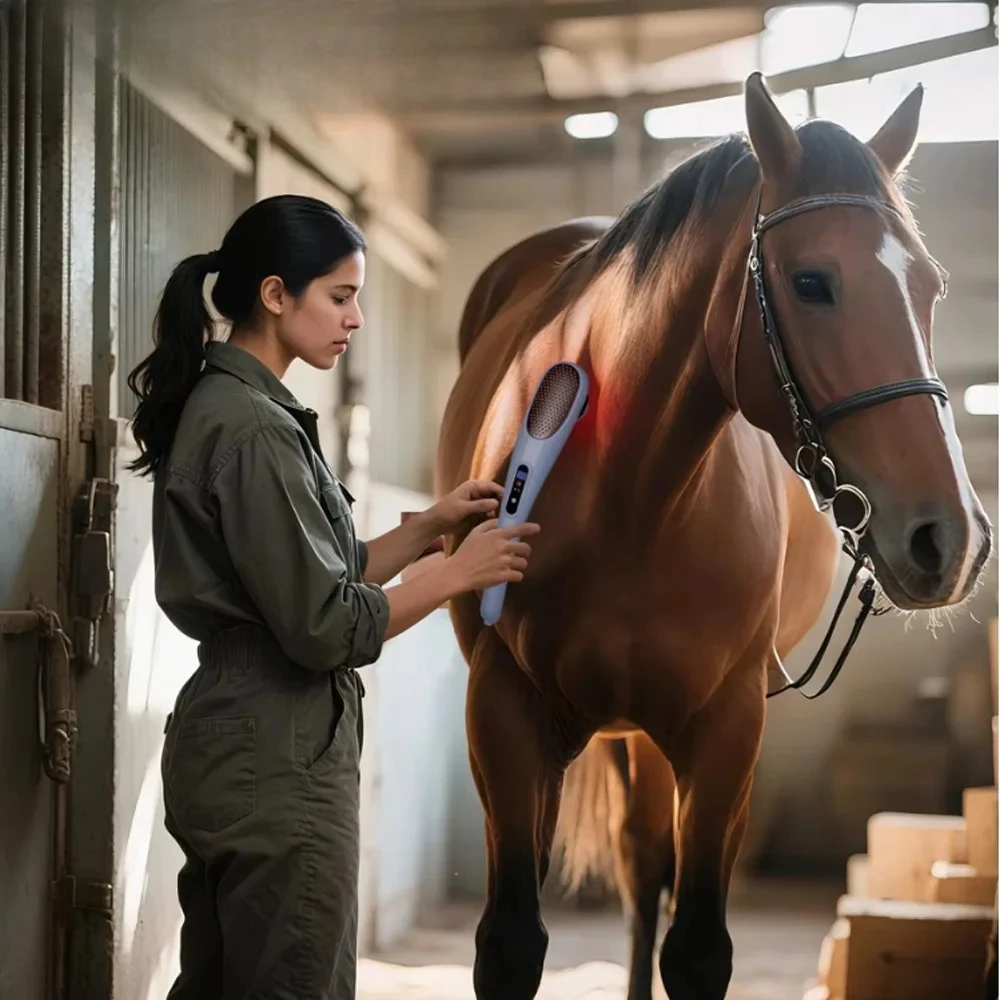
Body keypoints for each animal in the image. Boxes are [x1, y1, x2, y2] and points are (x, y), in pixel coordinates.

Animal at [434, 73, 992, 1000]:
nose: (950, 539)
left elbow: (695, 947)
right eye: (811, 281)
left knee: (648, 870)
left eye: (931, 287)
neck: (632, 498)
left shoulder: (727, 728)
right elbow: (510, 943)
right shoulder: (503, 711)